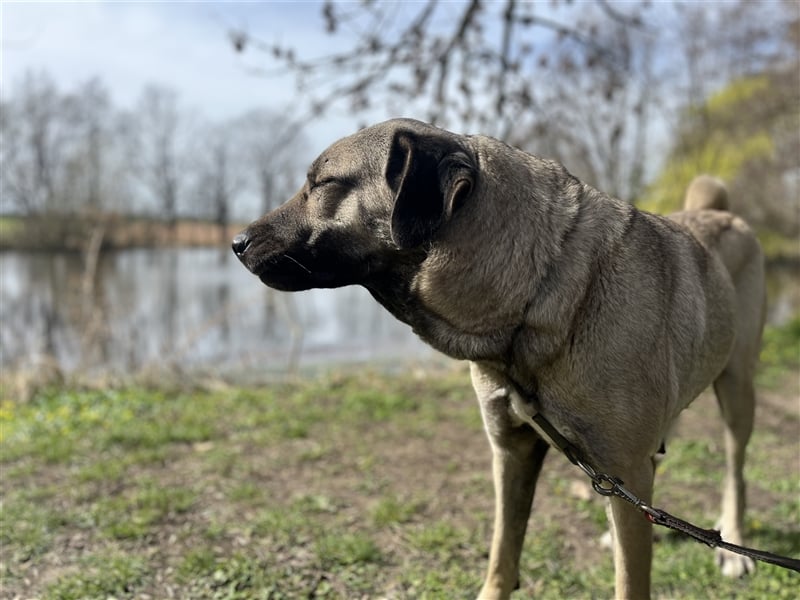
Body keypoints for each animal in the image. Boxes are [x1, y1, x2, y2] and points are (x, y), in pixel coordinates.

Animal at [230, 119, 764, 596]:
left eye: (323, 184)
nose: (236, 242)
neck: (542, 291)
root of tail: (721, 214)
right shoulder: (513, 453)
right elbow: (503, 555)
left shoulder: (620, 462)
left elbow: (629, 582)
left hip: (737, 391)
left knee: (735, 472)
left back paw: (732, 544)